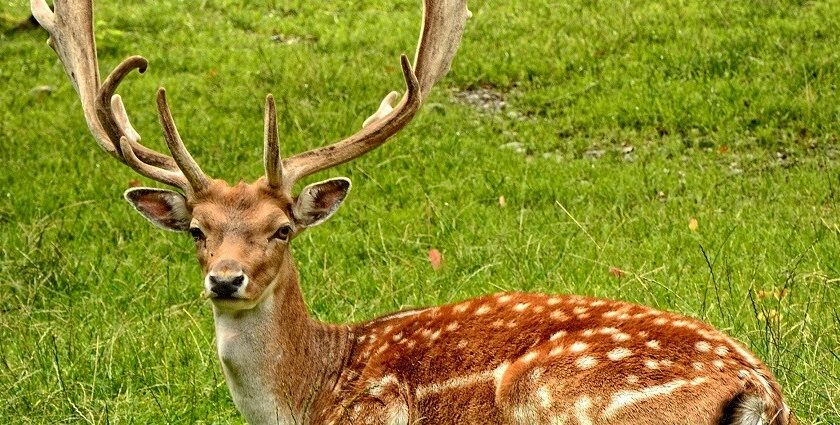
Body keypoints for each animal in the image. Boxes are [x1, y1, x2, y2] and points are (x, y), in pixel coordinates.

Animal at [32, 0, 796, 424]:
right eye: (197, 229)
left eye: (282, 229)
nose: (225, 279)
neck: (308, 395)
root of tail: (760, 389)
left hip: (559, 396)